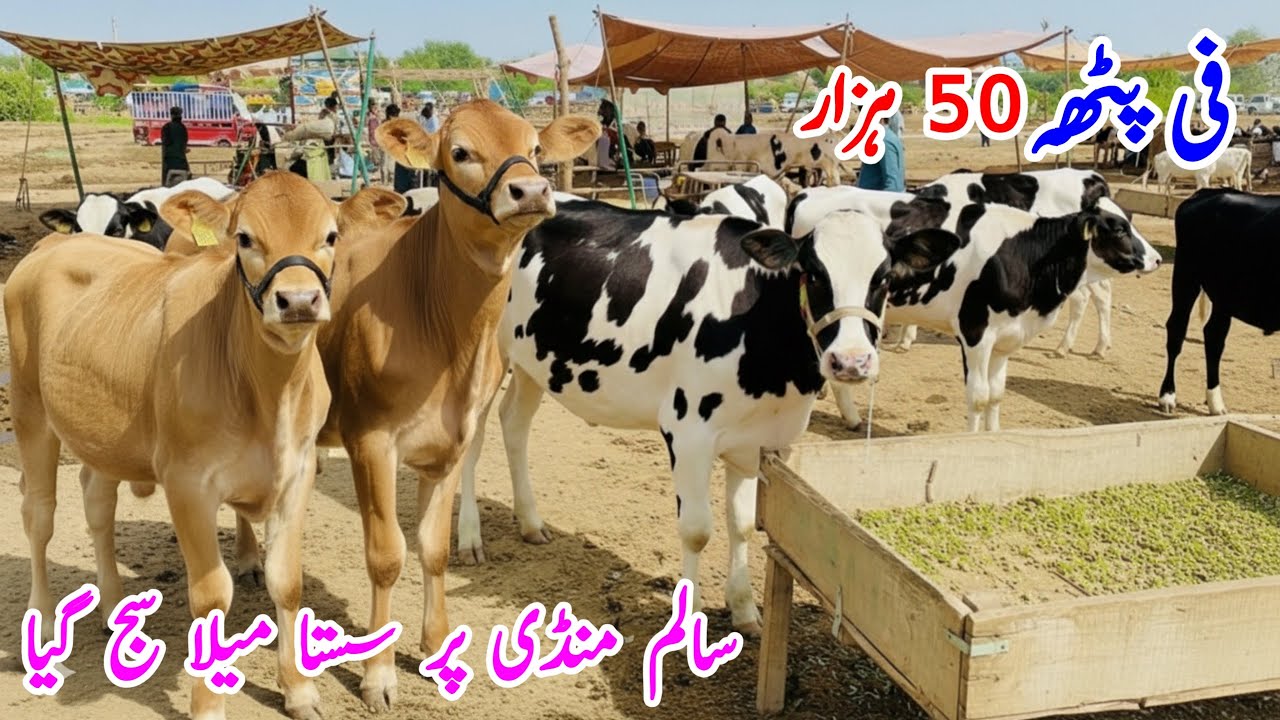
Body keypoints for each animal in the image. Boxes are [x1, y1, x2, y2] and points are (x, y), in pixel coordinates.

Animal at [316, 101, 598, 710]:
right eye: (462, 151)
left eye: (534, 148)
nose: (530, 189)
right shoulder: (369, 441)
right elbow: (386, 555)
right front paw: (378, 676)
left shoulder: (449, 442)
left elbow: (434, 548)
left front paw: (435, 646)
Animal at [453, 199, 959, 632]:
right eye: (813, 273)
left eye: (884, 278)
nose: (851, 361)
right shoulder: (688, 431)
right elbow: (697, 530)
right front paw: (688, 620)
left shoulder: (758, 441)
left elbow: (744, 524)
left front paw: (745, 610)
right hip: (483, 354)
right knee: (470, 437)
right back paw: (469, 537)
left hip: (533, 361)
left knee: (514, 424)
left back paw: (530, 522)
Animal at [830, 194, 1161, 431]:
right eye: (1119, 229)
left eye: (1130, 220)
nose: (1157, 259)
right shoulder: (975, 332)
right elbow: (978, 396)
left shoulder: (1006, 338)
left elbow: (996, 394)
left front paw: (993, 436)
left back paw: (852, 418)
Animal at [1158, 188, 1280, 416]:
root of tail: (1209, 192)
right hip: (1186, 274)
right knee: (1177, 330)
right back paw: (1168, 396)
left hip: (1225, 295)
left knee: (1214, 336)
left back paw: (1215, 403)